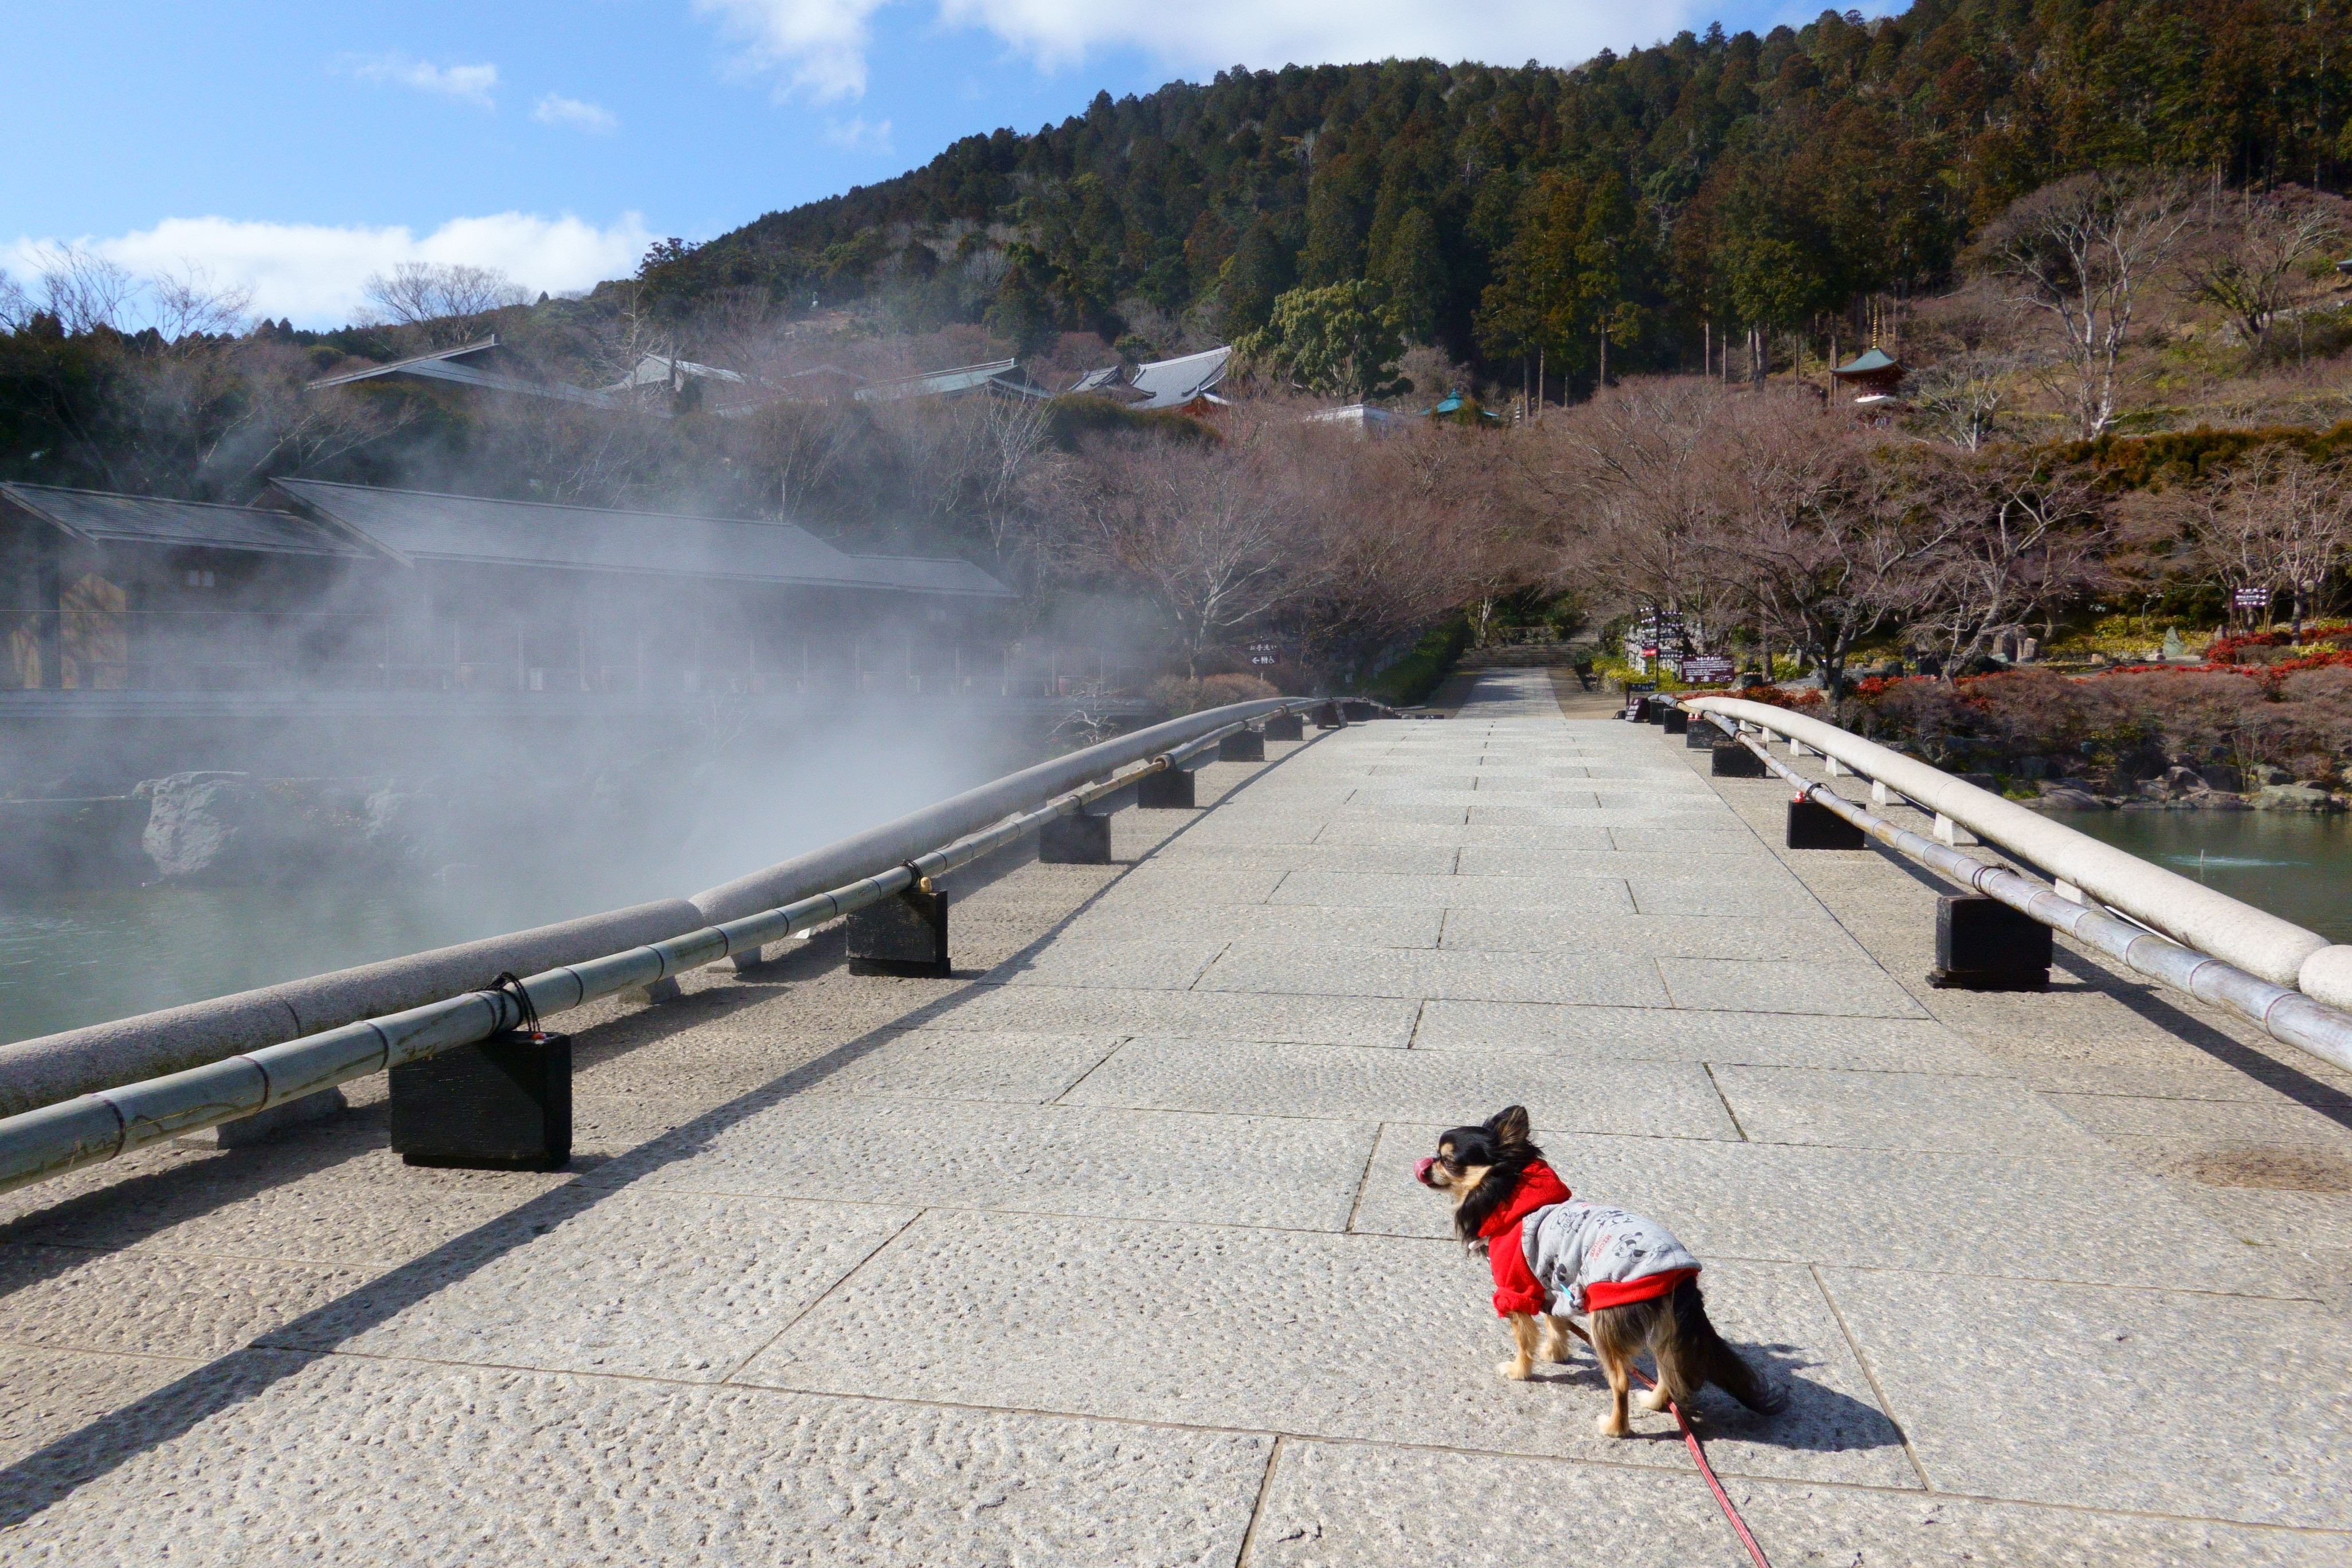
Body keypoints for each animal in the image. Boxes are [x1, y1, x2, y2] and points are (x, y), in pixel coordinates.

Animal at [1411, 1104, 1778, 1438]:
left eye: (1449, 1160)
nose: (1425, 1165)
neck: (1510, 1194)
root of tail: (1681, 1279)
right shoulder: (1552, 1284)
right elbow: (1555, 1323)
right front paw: (1555, 1354)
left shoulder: (1516, 1289)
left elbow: (1524, 1338)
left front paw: (1519, 1370)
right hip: (1664, 1331)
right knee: (1668, 1368)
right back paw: (1655, 1402)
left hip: (1607, 1322)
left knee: (1622, 1381)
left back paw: (1616, 1428)